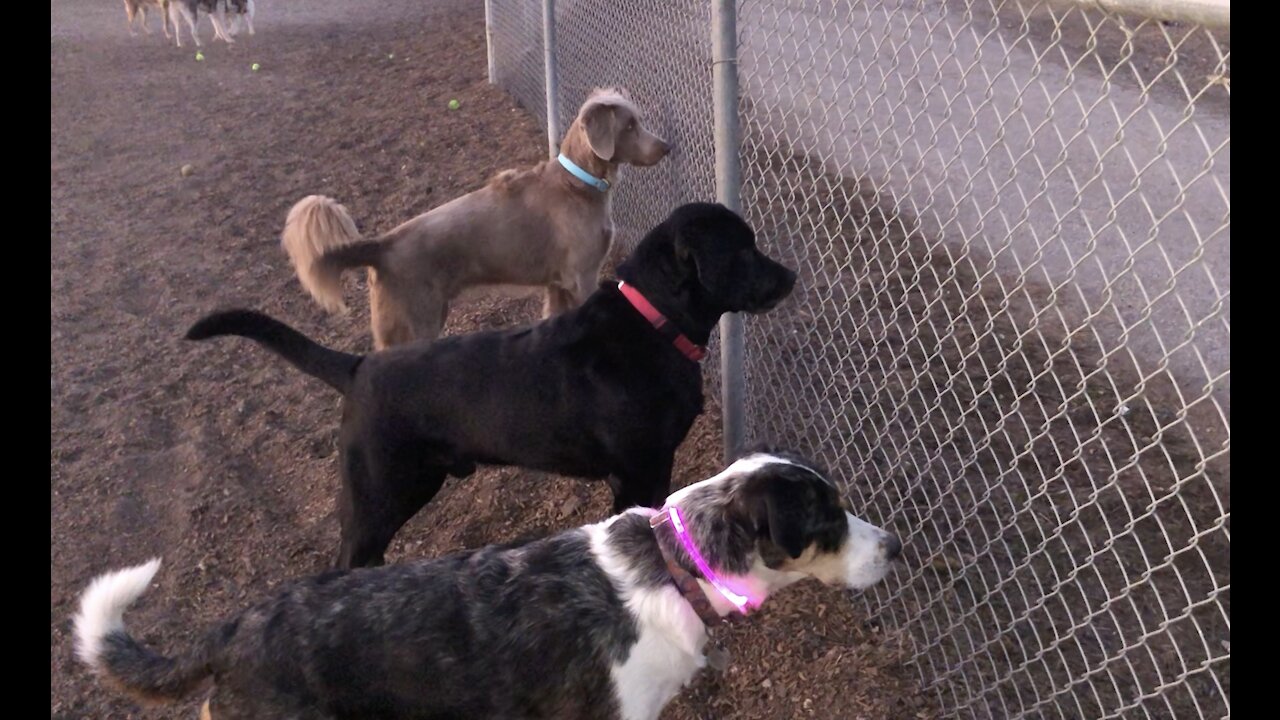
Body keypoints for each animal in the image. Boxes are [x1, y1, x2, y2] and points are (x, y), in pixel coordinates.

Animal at [186, 202, 793, 566]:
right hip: (380, 489)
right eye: (743, 249)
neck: (654, 324)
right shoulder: (637, 470)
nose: (791, 274)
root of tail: (358, 367)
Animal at [279, 85, 670, 348]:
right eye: (629, 126)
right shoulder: (582, 275)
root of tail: (381, 246)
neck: (579, 184)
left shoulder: (557, 284)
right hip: (414, 321)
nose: (667, 146)